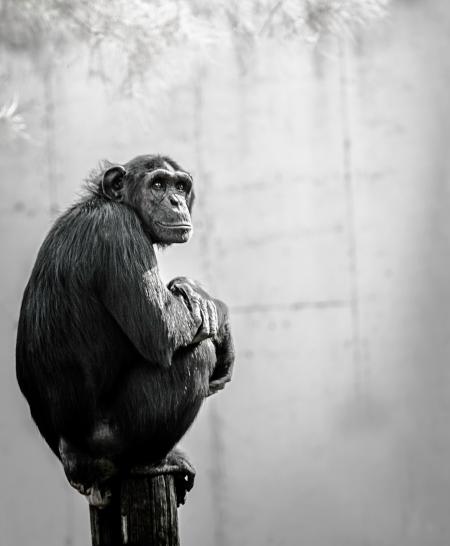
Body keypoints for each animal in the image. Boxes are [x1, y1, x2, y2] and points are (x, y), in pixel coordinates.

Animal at [15, 153, 234, 506]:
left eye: (180, 186)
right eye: (157, 184)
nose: (175, 201)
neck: (112, 203)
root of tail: (76, 468)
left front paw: (190, 289)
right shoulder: (119, 230)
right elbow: (161, 329)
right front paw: (212, 309)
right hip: (116, 440)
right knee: (197, 355)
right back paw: (157, 461)